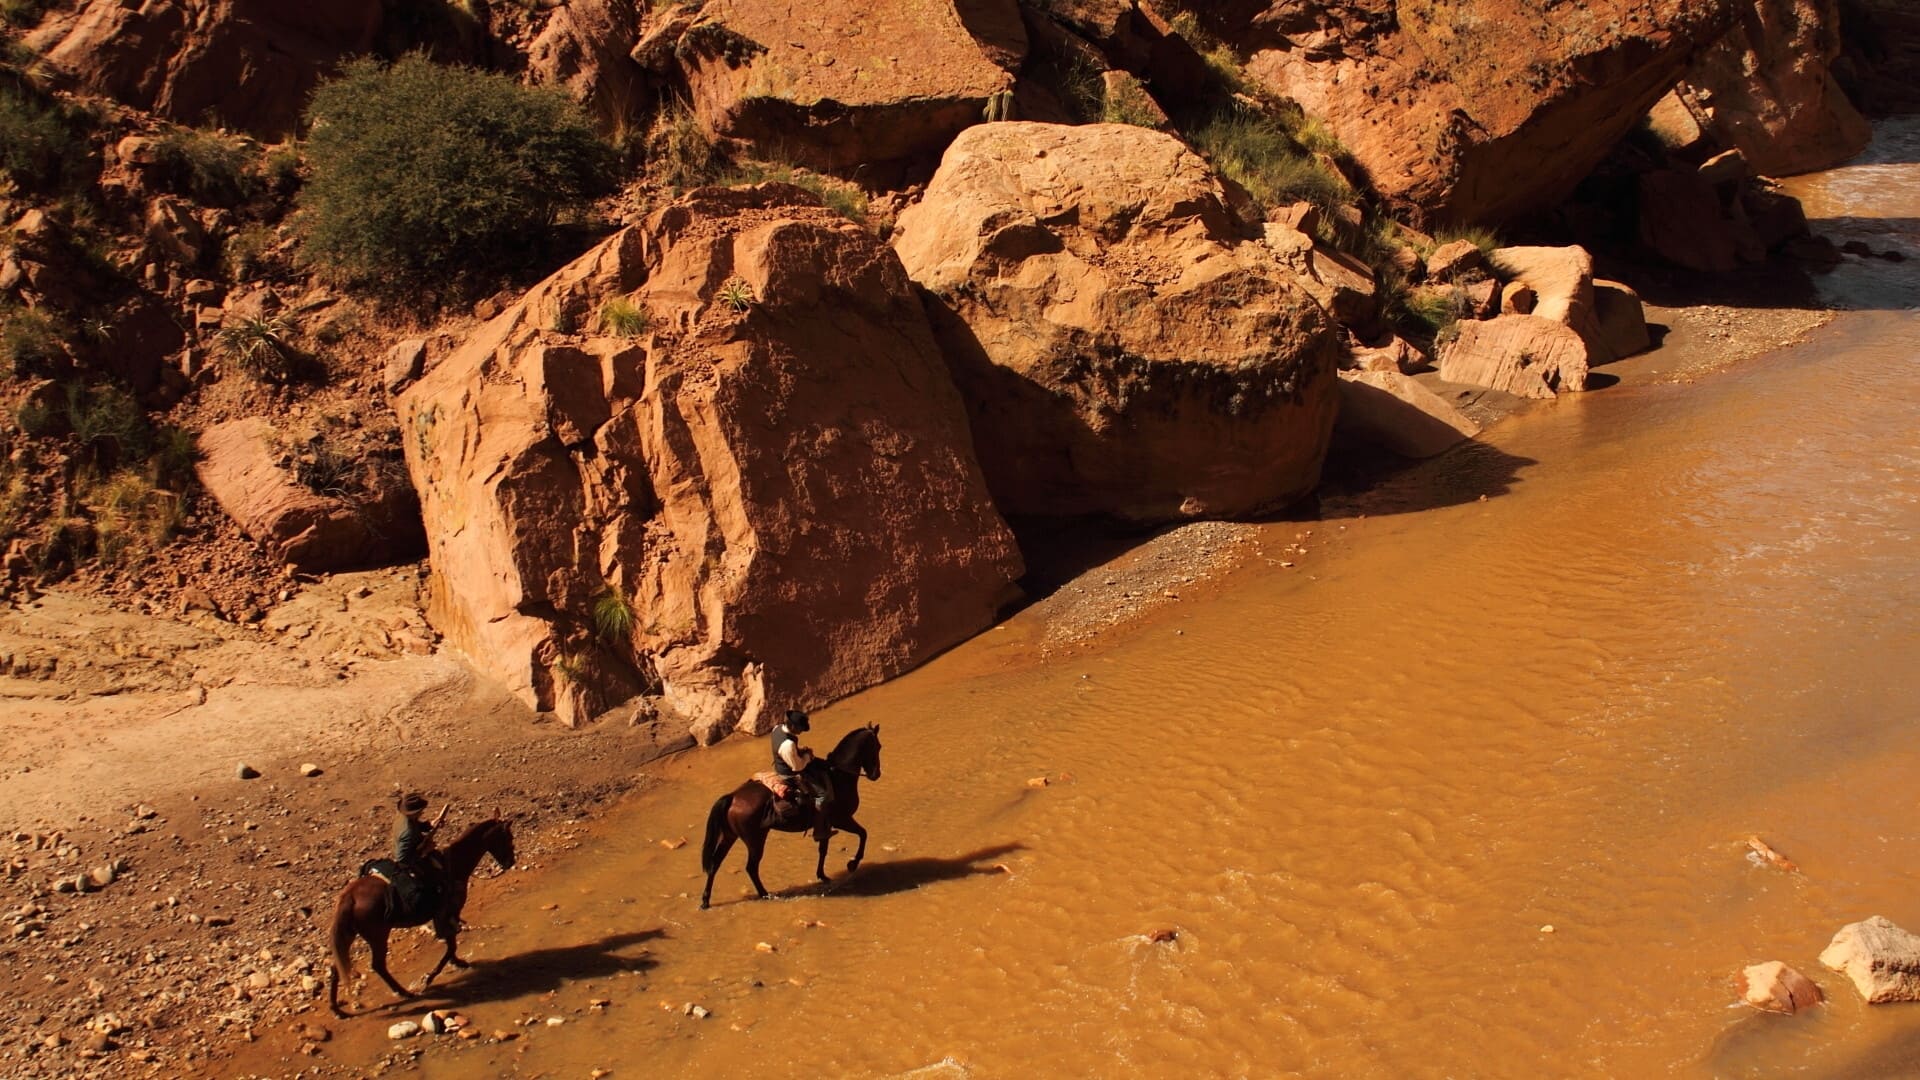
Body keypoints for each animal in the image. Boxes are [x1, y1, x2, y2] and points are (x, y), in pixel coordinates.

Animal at [326, 810, 514, 1014]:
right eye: (508, 837)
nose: (511, 862)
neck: (453, 866)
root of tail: (349, 896)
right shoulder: (448, 913)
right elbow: (451, 944)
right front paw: (430, 977)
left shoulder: (444, 916)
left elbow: (451, 945)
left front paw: (456, 963)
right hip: (377, 936)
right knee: (378, 965)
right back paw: (404, 992)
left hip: (350, 935)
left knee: (338, 966)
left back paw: (337, 1010)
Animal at [702, 718, 879, 903]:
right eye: (878, 747)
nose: (876, 774)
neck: (838, 777)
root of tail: (733, 796)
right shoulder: (842, 819)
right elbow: (863, 834)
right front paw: (853, 863)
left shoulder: (826, 825)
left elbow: (823, 849)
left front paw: (822, 875)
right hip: (754, 840)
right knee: (751, 867)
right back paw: (764, 894)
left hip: (729, 836)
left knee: (714, 864)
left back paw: (705, 901)